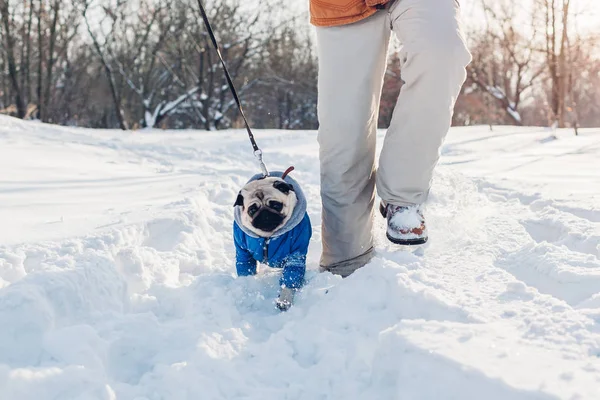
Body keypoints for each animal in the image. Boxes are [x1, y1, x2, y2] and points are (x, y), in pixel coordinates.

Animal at [232, 168, 312, 310]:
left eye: (276, 205)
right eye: (252, 210)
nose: (265, 214)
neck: (268, 237)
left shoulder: (295, 257)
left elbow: (289, 280)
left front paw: (284, 300)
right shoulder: (243, 253)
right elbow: (246, 269)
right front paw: (246, 290)